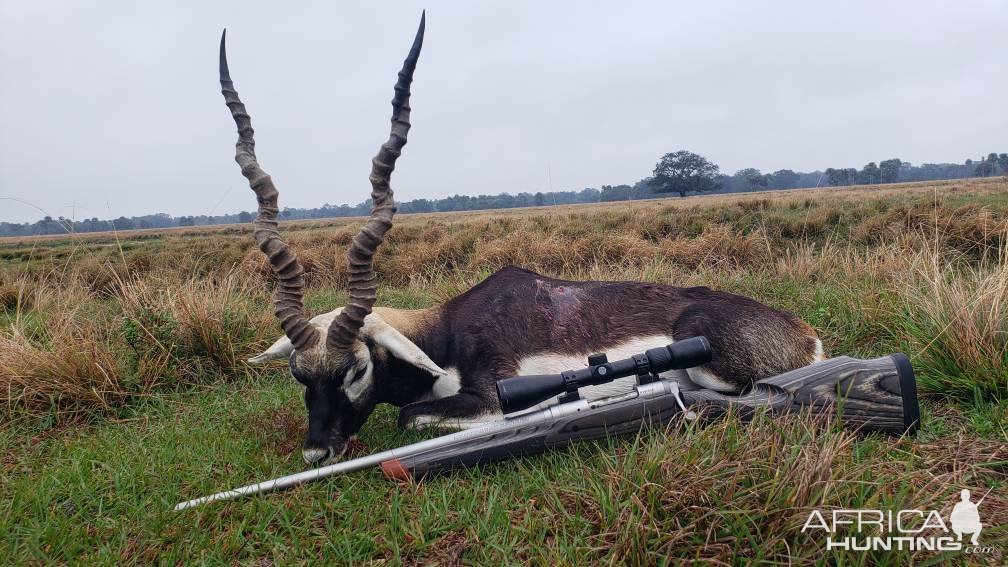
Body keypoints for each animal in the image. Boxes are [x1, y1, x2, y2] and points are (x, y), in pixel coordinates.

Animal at [218, 15, 818, 466]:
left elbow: (408, 416)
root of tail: (803, 332)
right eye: (298, 374)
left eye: (357, 369)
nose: (317, 452)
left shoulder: (488, 399)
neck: (445, 335)